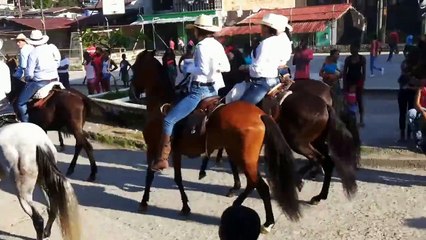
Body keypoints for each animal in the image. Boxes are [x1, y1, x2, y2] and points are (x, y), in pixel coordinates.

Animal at [132, 49, 300, 232]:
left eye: (134, 68)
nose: (133, 91)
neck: (160, 103)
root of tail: (260, 114)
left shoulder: (152, 147)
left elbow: (150, 174)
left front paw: (144, 202)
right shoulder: (174, 151)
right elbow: (177, 178)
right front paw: (185, 206)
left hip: (244, 158)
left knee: (261, 186)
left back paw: (268, 222)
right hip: (243, 157)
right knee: (252, 183)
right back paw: (237, 204)